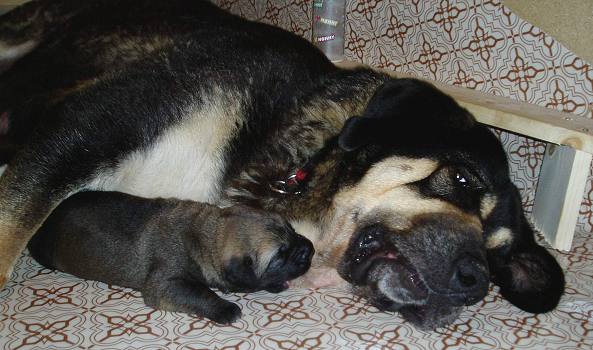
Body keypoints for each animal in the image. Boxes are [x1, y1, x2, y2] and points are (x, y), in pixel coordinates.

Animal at [27, 191, 314, 322]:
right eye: (279, 255)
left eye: (292, 229)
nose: (309, 249)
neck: (204, 234)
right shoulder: (165, 284)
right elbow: (200, 292)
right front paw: (224, 308)